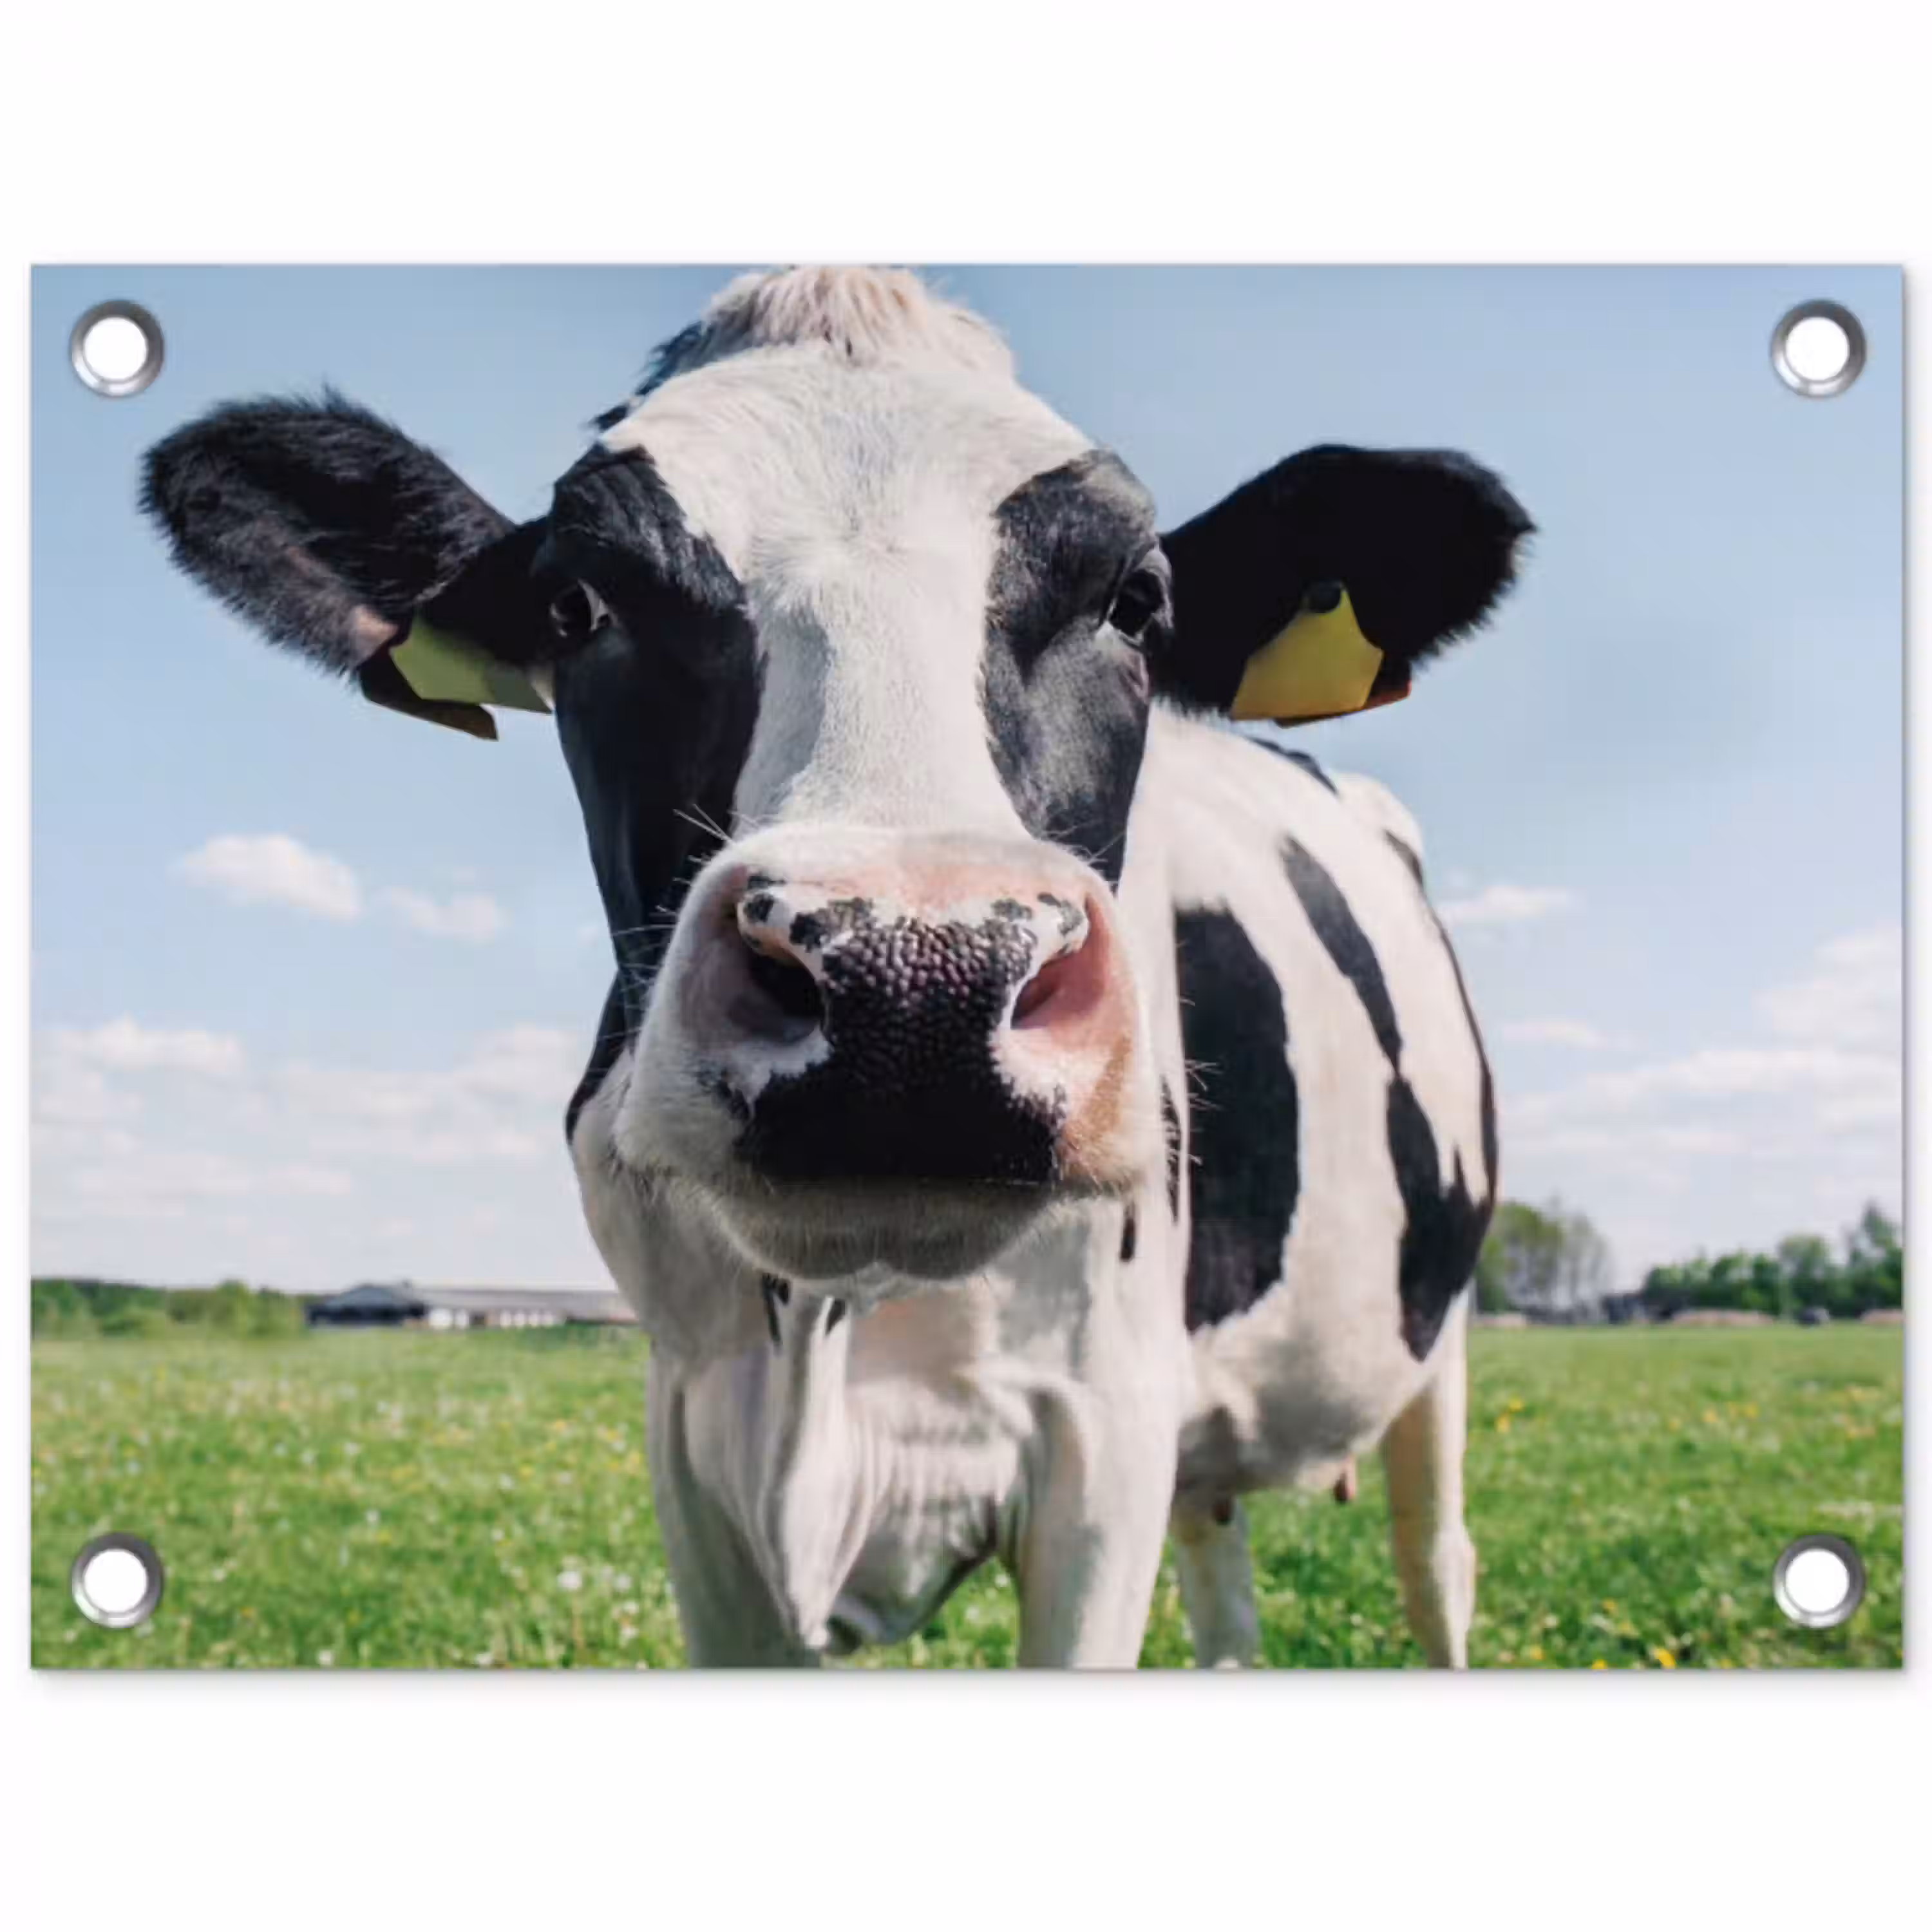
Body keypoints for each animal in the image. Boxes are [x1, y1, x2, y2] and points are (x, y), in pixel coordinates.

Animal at [141, 267, 1529, 1667]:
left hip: (1437, 1345)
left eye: (1136, 600)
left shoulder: (1106, 1432)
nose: (915, 987)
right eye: (577, 605)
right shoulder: (694, 1439)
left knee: (1440, 1564)